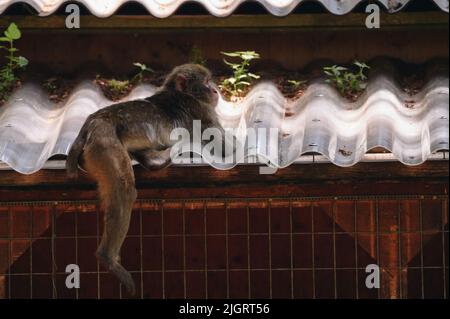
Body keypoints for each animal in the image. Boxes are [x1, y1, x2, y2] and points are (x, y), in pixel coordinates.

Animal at [65, 63, 227, 296]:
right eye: (205, 82)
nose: (214, 90)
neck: (179, 94)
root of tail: (90, 123)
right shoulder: (202, 112)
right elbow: (226, 148)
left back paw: (155, 162)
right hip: (104, 143)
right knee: (124, 189)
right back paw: (107, 257)